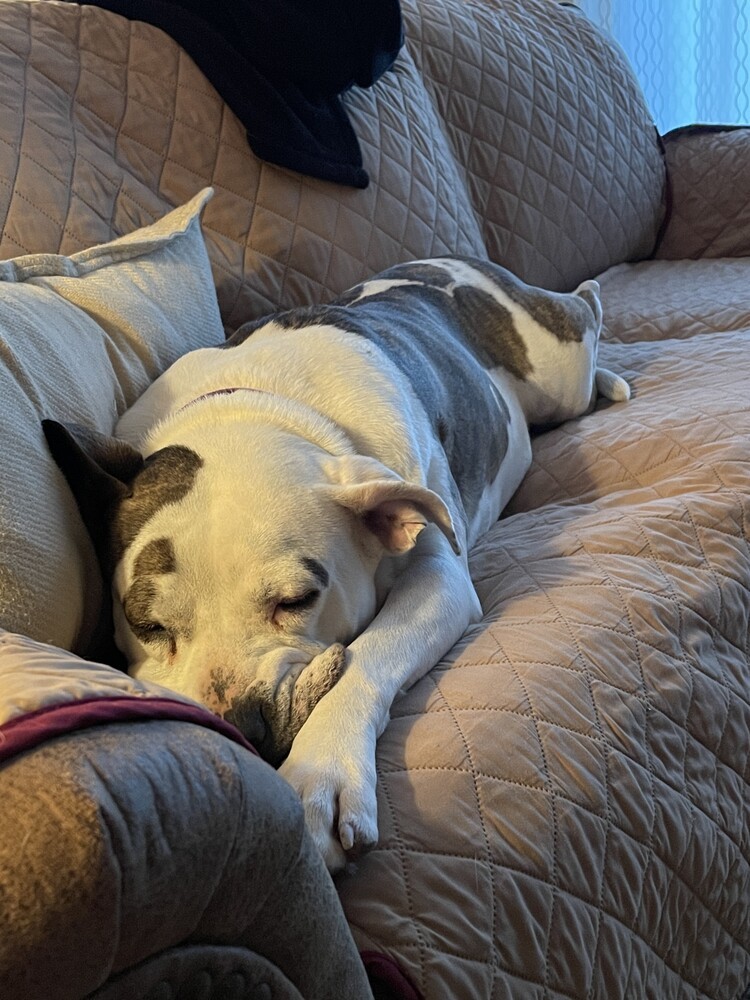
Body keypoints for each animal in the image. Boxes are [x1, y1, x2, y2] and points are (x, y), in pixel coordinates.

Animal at [42, 254, 628, 872]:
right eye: (148, 625)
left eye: (297, 600)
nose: (240, 726)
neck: (264, 402)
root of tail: (448, 260)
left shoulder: (438, 577)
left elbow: (367, 656)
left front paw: (321, 769)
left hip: (557, 371)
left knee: (587, 308)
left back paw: (608, 372)